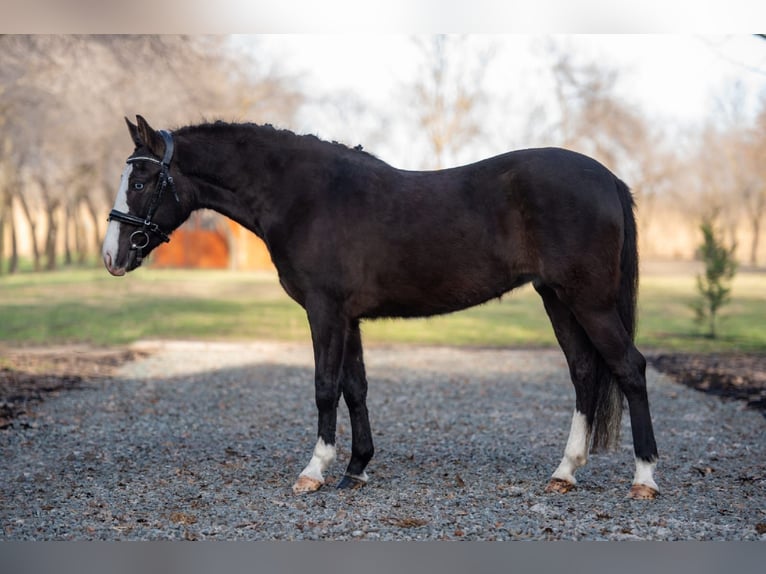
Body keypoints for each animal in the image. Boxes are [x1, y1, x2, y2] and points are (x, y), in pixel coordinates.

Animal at [103, 116, 660, 500]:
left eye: (140, 183)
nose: (112, 256)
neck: (306, 196)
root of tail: (609, 179)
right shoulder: (348, 317)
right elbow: (356, 388)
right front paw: (356, 469)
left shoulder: (325, 312)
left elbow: (325, 387)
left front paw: (314, 471)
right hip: (558, 300)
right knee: (585, 372)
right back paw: (565, 472)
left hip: (588, 302)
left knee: (629, 368)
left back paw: (645, 478)